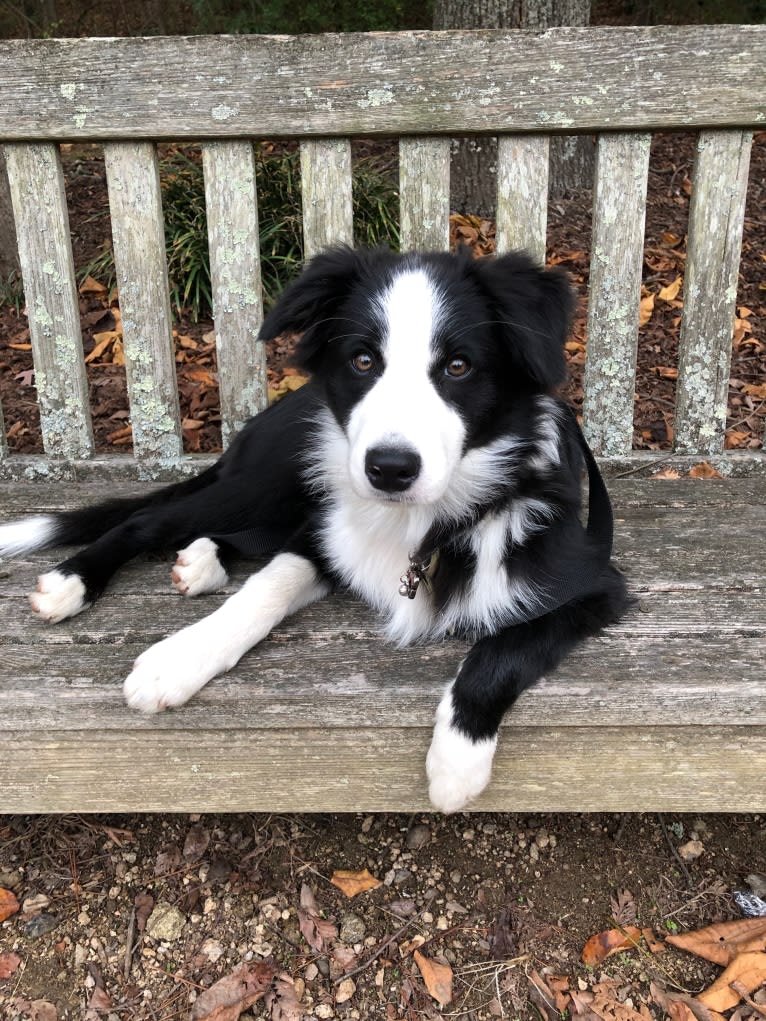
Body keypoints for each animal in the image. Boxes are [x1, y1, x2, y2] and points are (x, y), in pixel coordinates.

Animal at [0, 249, 629, 812]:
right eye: (362, 361)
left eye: (458, 367)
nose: (390, 469)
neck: (421, 522)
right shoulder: (324, 537)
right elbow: (262, 592)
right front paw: (178, 659)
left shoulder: (594, 586)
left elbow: (504, 649)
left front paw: (456, 763)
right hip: (268, 482)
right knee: (145, 520)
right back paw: (72, 582)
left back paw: (201, 562)